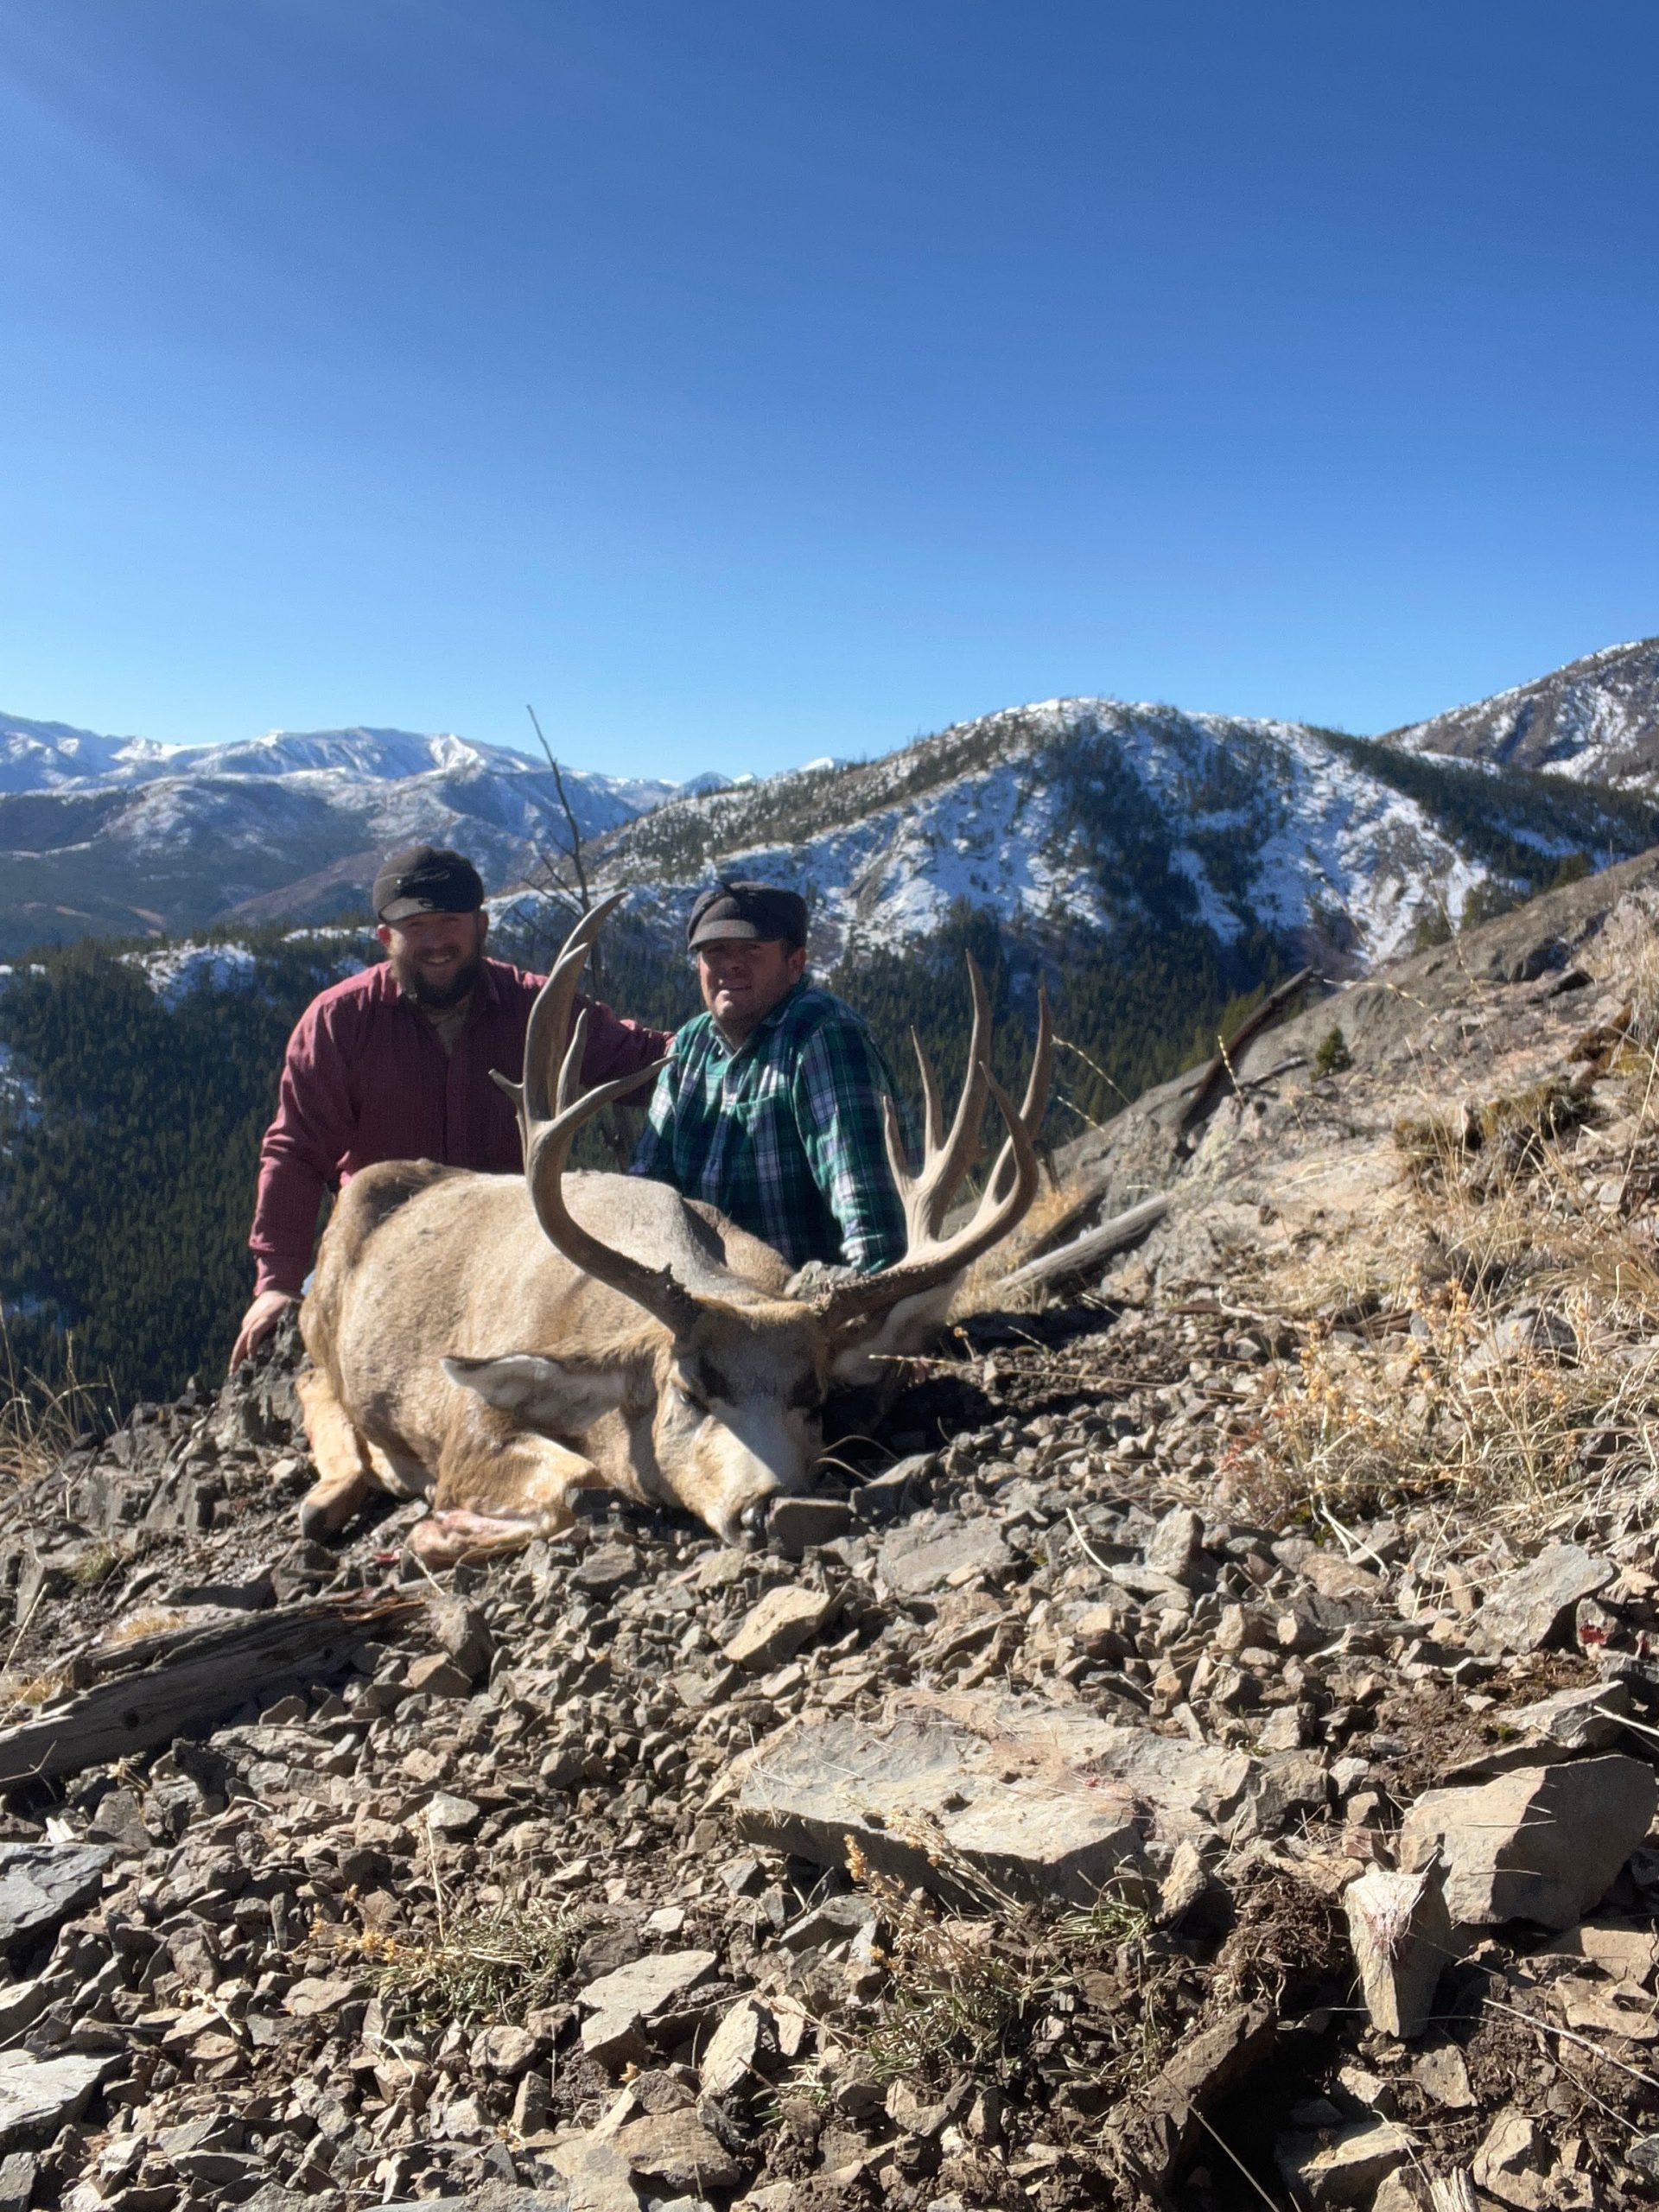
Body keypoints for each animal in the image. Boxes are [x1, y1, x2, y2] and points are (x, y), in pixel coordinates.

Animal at [293, 894, 1052, 1564]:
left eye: (813, 1396)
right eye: (690, 1391)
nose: (774, 1507)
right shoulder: (469, 1421)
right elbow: (579, 1481)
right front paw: (438, 1527)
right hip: (322, 1309)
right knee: (312, 1380)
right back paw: (338, 1492)